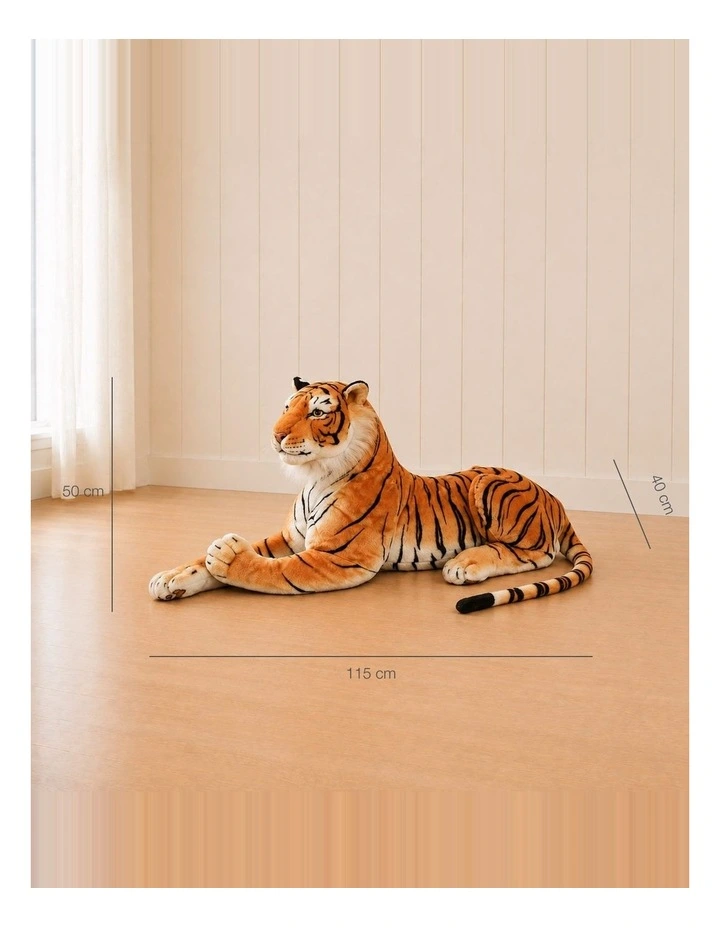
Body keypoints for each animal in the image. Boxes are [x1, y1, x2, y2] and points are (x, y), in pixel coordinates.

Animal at [149, 378, 593, 613]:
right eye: (287, 407)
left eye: (317, 412)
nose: (275, 435)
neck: (314, 476)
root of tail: (554, 498)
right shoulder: (290, 538)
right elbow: (205, 562)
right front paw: (170, 578)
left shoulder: (336, 555)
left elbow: (270, 570)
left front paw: (227, 555)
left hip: (490, 484)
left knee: (532, 554)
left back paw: (463, 565)